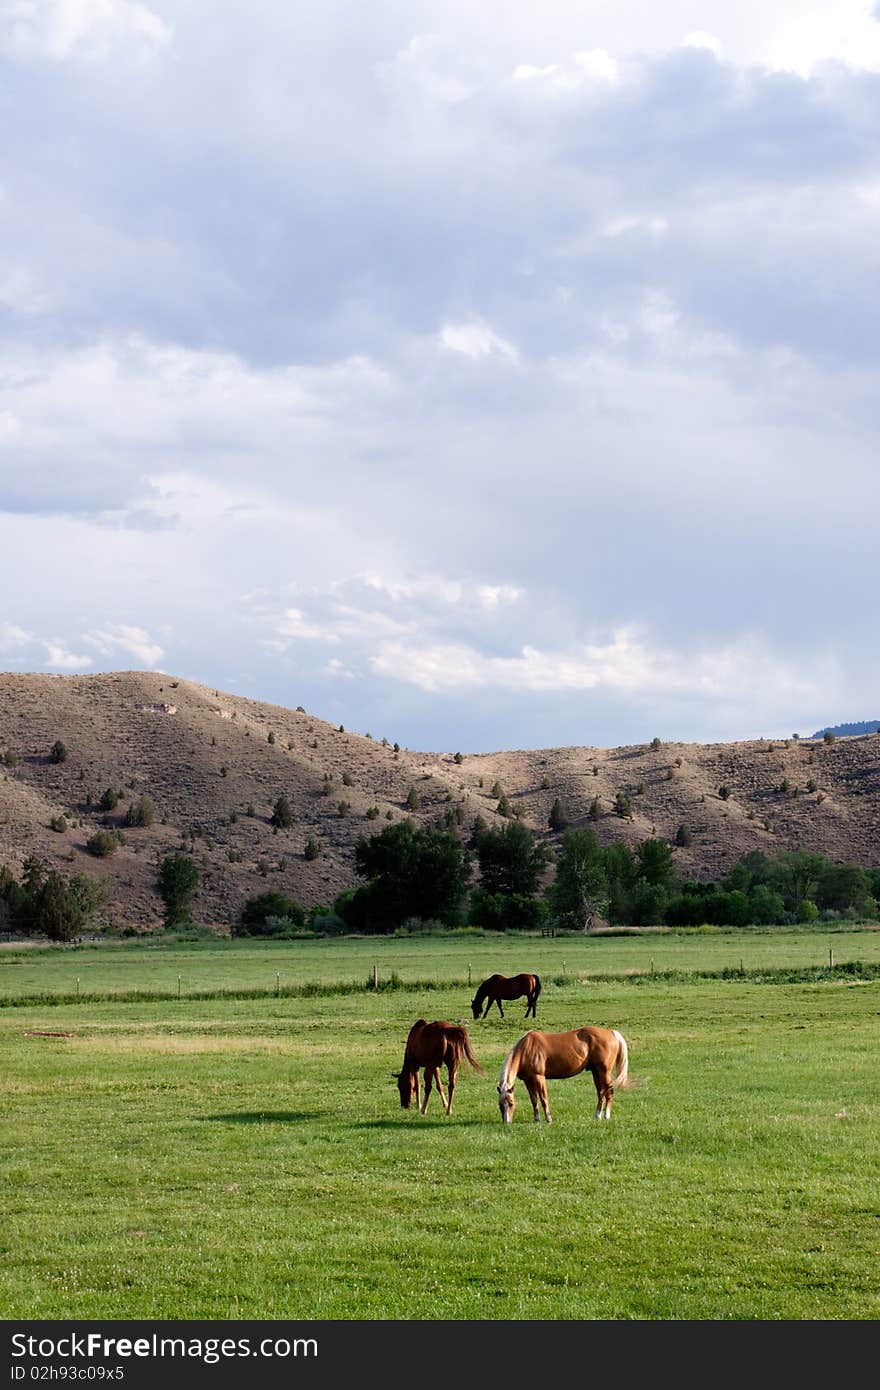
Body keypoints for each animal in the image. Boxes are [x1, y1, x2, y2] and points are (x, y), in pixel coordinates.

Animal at [494, 1028, 631, 1123]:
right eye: (500, 1105)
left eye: (511, 1103)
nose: (507, 1122)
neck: (526, 1049)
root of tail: (611, 1032)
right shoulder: (528, 1080)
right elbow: (534, 1100)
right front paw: (536, 1119)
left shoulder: (539, 1077)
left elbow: (543, 1098)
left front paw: (549, 1119)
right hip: (596, 1072)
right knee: (601, 1092)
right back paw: (597, 1116)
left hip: (604, 1071)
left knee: (609, 1091)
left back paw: (606, 1116)